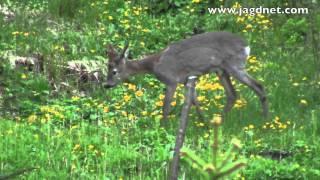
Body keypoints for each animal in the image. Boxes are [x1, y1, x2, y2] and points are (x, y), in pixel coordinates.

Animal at [104, 31, 268, 124]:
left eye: (114, 71)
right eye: (107, 67)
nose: (106, 85)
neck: (154, 64)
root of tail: (246, 45)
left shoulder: (171, 80)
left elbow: (166, 107)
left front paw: (163, 127)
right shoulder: (186, 80)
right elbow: (195, 102)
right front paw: (203, 122)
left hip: (235, 65)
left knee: (258, 85)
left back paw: (265, 118)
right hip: (221, 70)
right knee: (233, 94)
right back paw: (218, 121)